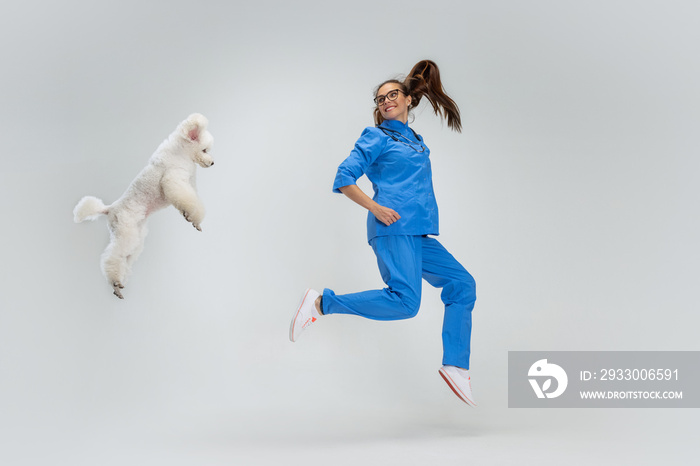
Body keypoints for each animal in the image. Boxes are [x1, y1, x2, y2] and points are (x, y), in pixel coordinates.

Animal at [73, 114, 213, 300]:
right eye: (204, 150)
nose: (213, 163)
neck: (181, 153)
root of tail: (110, 209)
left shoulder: (188, 183)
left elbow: (195, 201)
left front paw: (195, 222)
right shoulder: (173, 180)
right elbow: (187, 200)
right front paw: (191, 217)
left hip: (135, 235)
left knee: (125, 258)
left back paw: (119, 285)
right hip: (126, 231)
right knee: (113, 257)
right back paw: (115, 282)